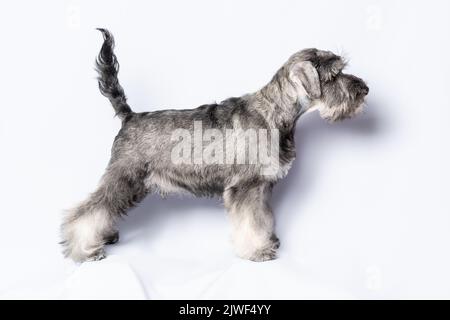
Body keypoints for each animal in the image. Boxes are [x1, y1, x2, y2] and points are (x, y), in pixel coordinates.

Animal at [60, 28, 370, 262]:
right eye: (334, 75)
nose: (364, 90)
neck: (275, 112)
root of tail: (130, 116)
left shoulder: (260, 188)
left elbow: (262, 218)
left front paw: (268, 242)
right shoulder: (246, 187)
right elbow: (250, 222)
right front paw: (257, 250)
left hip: (134, 184)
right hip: (124, 177)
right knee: (88, 210)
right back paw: (83, 249)